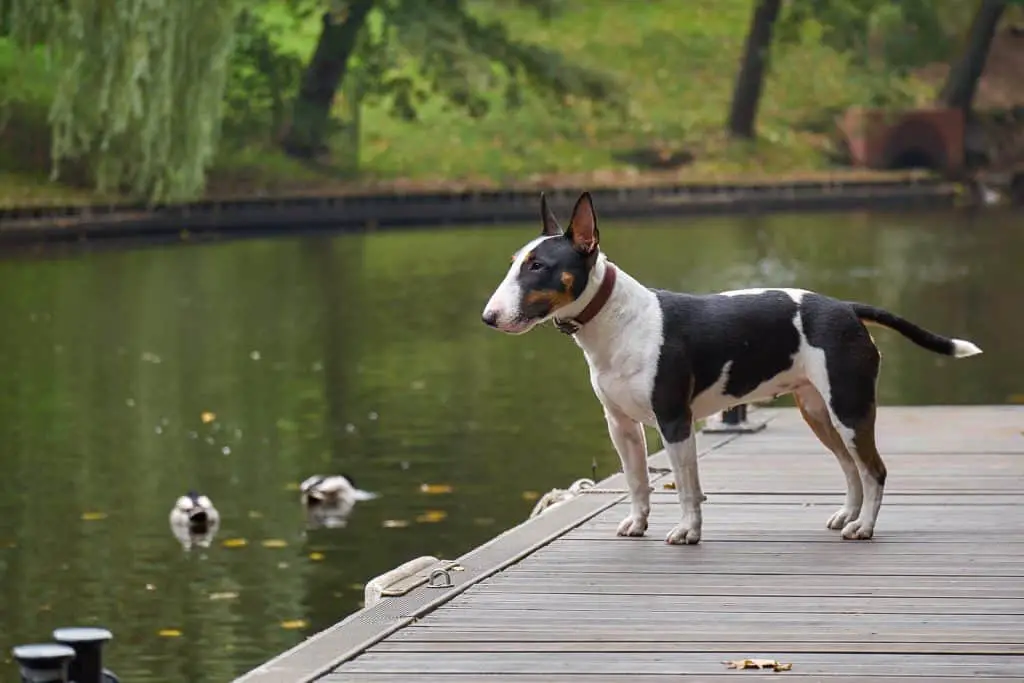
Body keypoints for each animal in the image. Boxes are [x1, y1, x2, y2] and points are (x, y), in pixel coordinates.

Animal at [479, 191, 983, 544]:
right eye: (514, 263)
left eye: (538, 266)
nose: (489, 317)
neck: (616, 321)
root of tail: (845, 307)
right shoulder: (620, 425)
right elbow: (638, 481)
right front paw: (638, 523)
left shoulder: (675, 420)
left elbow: (686, 485)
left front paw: (688, 532)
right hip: (819, 412)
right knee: (850, 467)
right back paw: (849, 516)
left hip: (850, 407)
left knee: (874, 469)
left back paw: (863, 527)